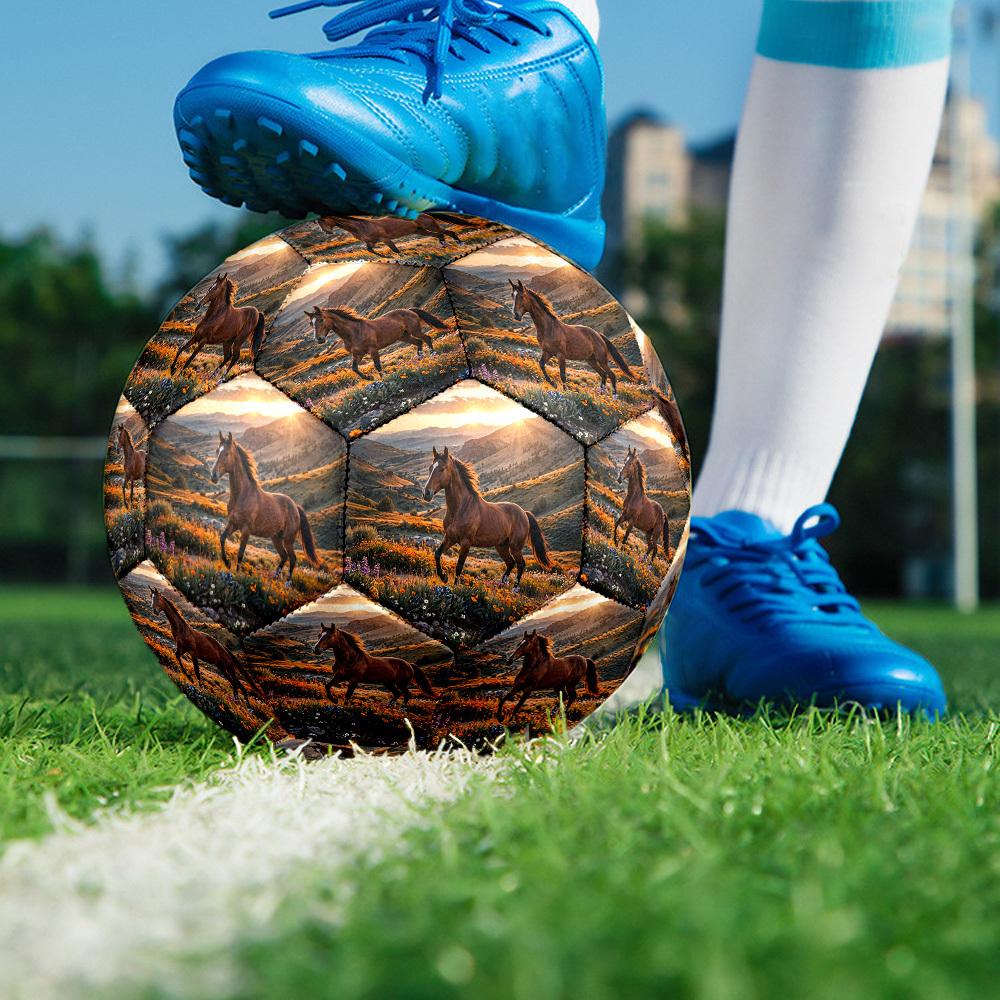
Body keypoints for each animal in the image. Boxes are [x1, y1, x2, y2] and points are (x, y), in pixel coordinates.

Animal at [211, 432, 319, 580]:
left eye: (226, 453)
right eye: (217, 451)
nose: (213, 476)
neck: (242, 494)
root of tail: (295, 507)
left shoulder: (246, 530)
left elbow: (240, 553)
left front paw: (237, 573)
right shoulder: (233, 524)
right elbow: (222, 538)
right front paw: (227, 562)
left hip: (288, 539)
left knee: (293, 558)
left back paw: (287, 582)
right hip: (276, 538)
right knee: (284, 556)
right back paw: (274, 579)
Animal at [305, 305, 450, 380]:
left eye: (321, 319)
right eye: (311, 323)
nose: (319, 339)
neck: (354, 331)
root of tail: (409, 310)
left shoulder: (373, 350)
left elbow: (378, 366)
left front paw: (384, 378)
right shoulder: (358, 354)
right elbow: (354, 368)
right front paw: (369, 378)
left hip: (415, 331)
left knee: (427, 338)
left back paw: (433, 355)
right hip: (403, 337)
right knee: (419, 342)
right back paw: (420, 358)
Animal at [318, 213, 458, 254]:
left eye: (323, 220)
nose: (326, 232)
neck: (361, 226)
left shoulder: (384, 238)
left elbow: (395, 249)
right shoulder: (371, 242)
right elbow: (370, 250)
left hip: (430, 227)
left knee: (446, 232)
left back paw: (458, 242)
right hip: (420, 231)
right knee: (438, 235)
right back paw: (444, 246)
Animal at [423, 446, 553, 587]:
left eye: (442, 468)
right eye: (430, 468)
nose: (426, 493)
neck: (461, 508)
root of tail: (524, 513)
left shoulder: (466, 542)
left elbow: (459, 566)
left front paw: (455, 586)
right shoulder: (450, 538)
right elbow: (437, 553)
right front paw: (444, 577)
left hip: (515, 546)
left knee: (521, 564)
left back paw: (514, 588)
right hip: (501, 546)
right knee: (510, 563)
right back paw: (501, 585)